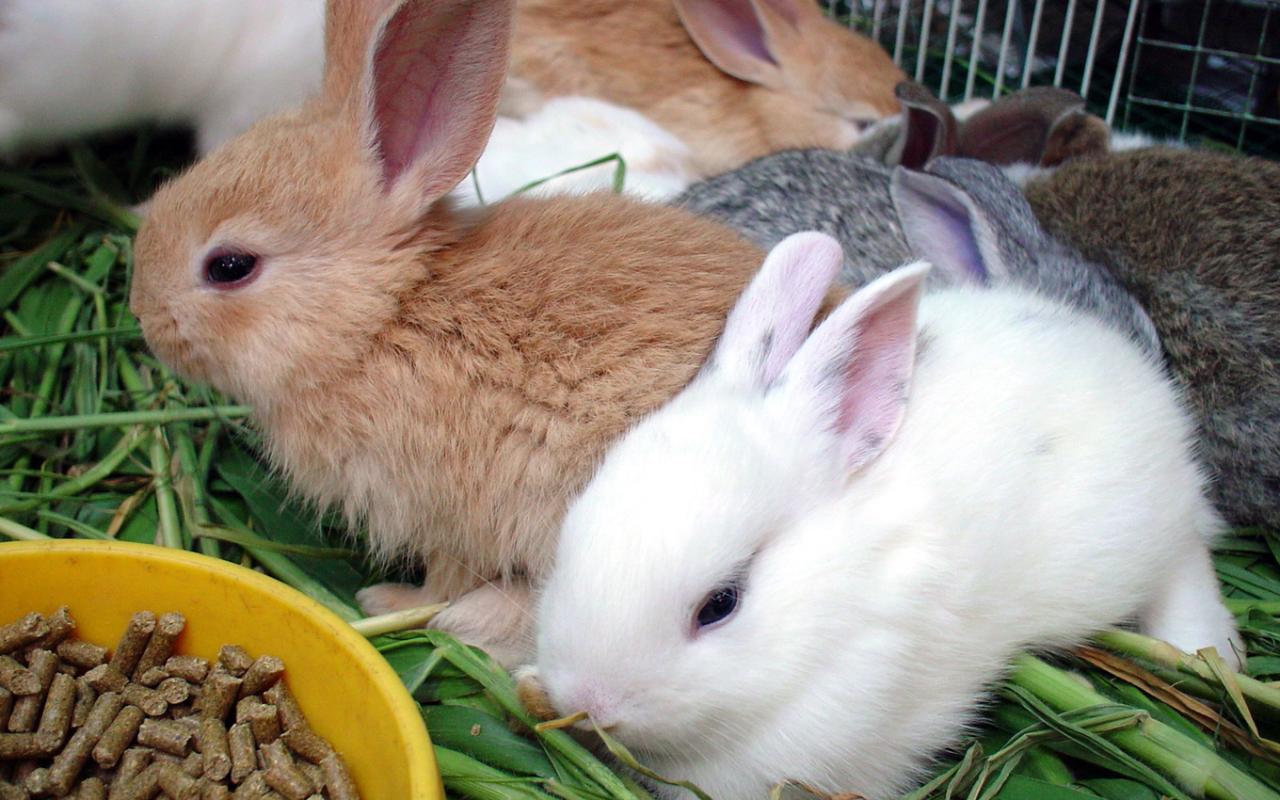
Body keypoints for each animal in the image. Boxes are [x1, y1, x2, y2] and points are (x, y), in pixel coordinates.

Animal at [528, 232, 1242, 800]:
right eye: (569, 540)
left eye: (720, 604)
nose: (587, 701)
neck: (836, 597)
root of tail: (1139, 377)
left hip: (1130, 540)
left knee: (1185, 558)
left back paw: (1212, 649)